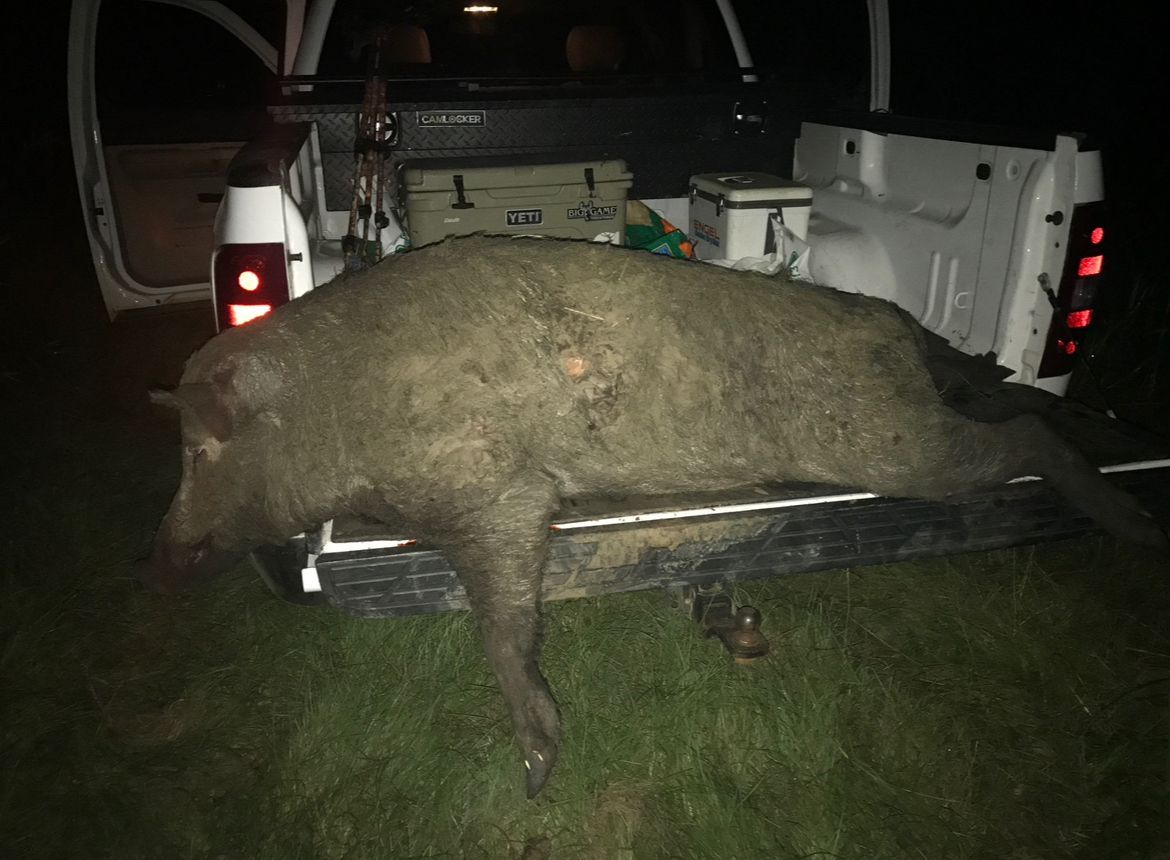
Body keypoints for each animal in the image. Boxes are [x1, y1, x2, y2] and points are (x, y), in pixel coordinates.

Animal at [145, 235, 1167, 797]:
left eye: (196, 454)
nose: (160, 558)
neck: (336, 419)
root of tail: (897, 326)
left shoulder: (497, 492)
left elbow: (501, 626)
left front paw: (536, 776)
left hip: (887, 442)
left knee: (1027, 436)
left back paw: (1137, 528)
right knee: (1013, 401)